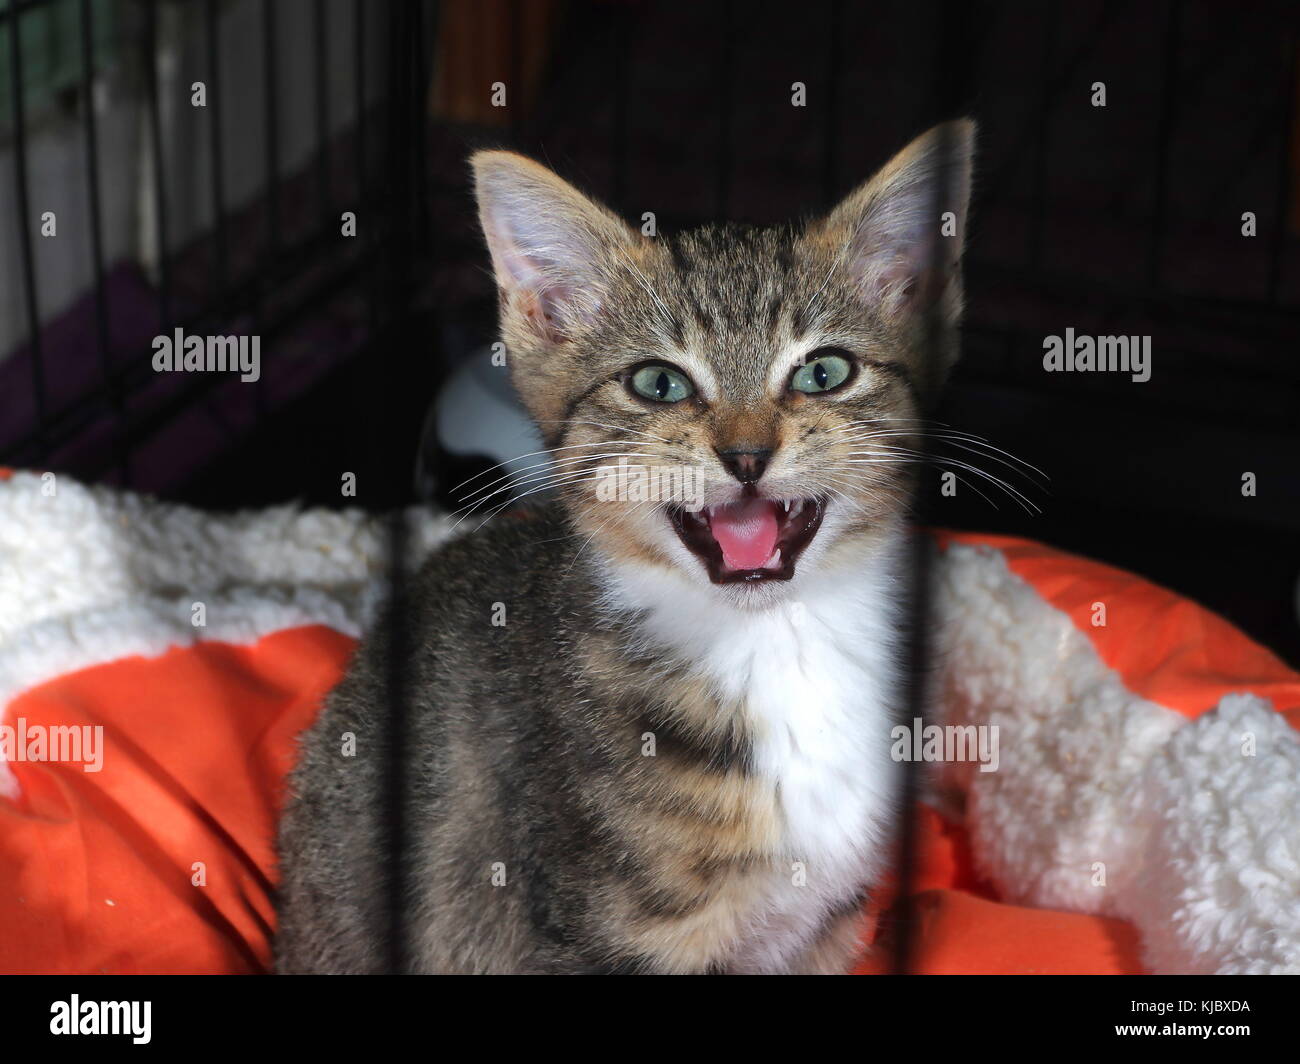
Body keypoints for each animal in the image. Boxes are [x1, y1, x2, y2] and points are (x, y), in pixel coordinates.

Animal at [276, 120, 977, 972]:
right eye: (657, 384)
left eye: (825, 371)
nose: (747, 455)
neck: (771, 644)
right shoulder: (599, 933)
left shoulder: (826, 930)